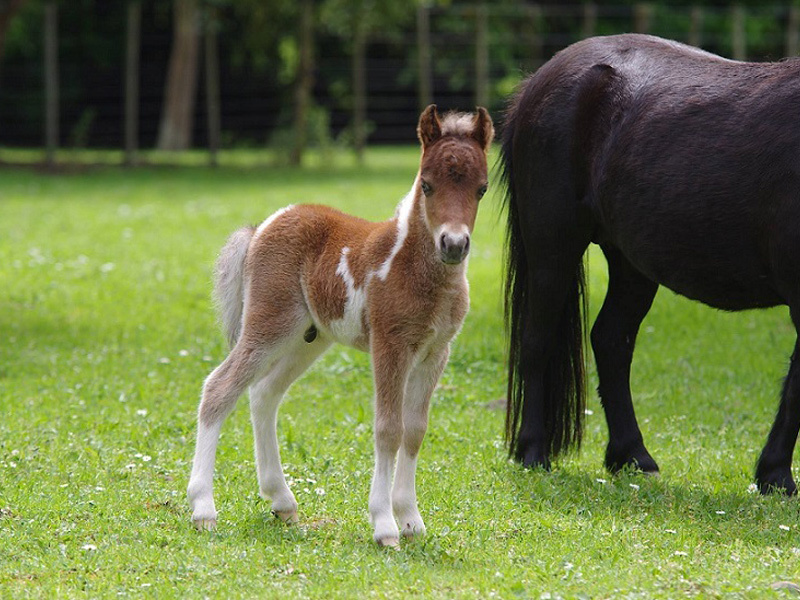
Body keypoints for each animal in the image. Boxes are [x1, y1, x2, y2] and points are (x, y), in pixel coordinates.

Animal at [187, 105, 494, 546]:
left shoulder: (436, 351)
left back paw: (281, 500)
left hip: (308, 339)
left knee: (263, 393)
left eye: (482, 188)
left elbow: (415, 430)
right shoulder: (390, 345)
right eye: (428, 185)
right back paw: (203, 508)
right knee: (219, 388)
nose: (453, 245)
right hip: (268, 324)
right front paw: (384, 525)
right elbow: (389, 428)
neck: (411, 266)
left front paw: (411, 519)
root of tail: (263, 225)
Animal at [501, 33, 800, 494]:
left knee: (611, 341)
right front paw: (776, 476)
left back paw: (631, 456)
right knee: (538, 342)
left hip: (630, 265)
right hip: (553, 249)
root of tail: (537, 82)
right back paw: (534, 452)